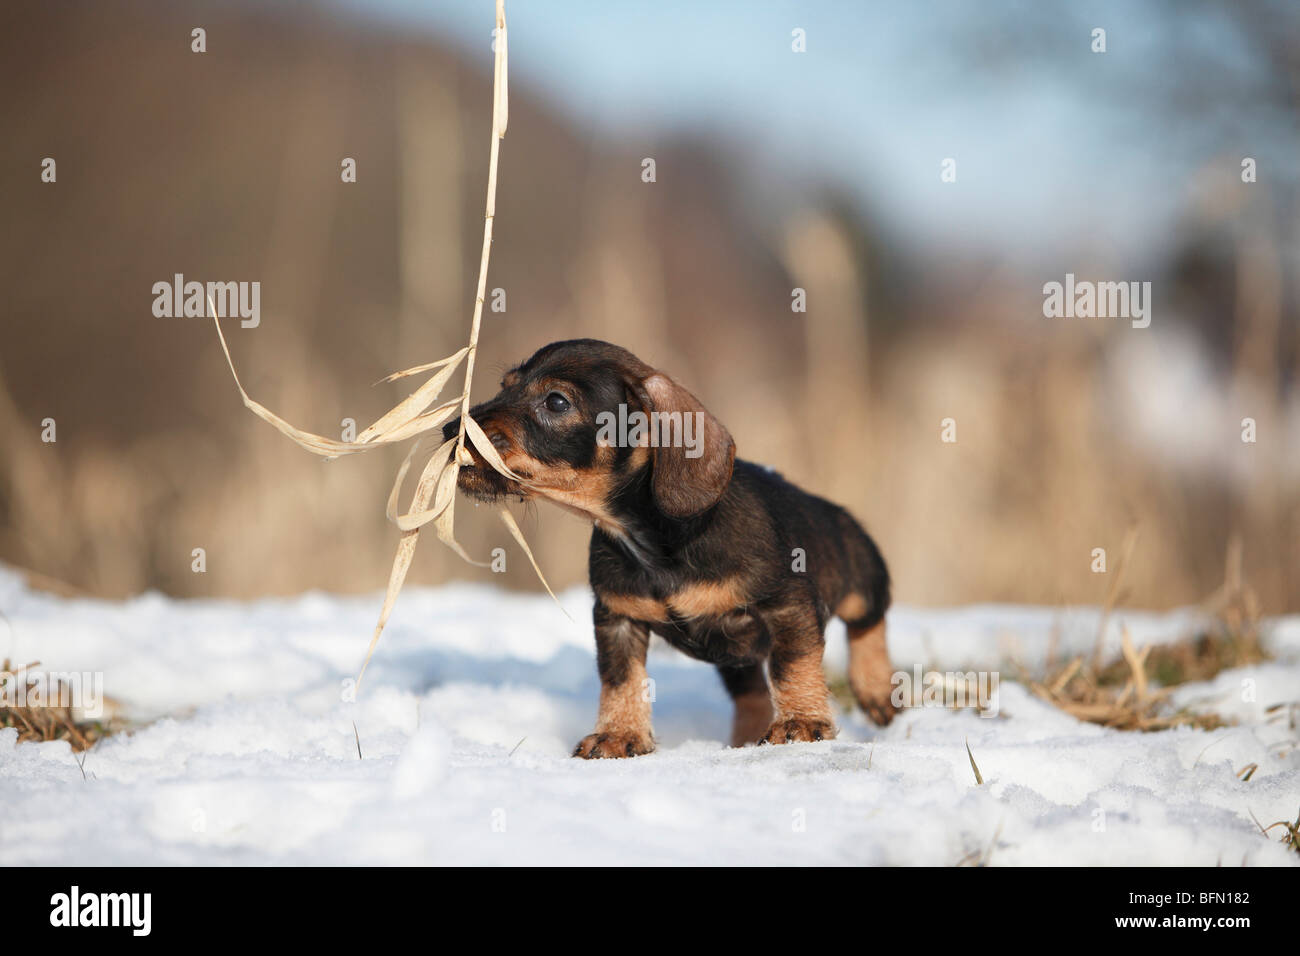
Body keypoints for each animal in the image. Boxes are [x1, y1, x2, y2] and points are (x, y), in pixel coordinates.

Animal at [447, 340, 894, 759]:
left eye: (556, 401)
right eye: (505, 386)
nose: (451, 430)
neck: (652, 542)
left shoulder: (788, 605)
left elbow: (792, 665)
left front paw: (801, 722)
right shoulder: (617, 618)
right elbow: (621, 679)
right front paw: (619, 734)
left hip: (860, 577)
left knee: (869, 620)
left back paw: (875, 689)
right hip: (737, 660)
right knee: (751, 694)